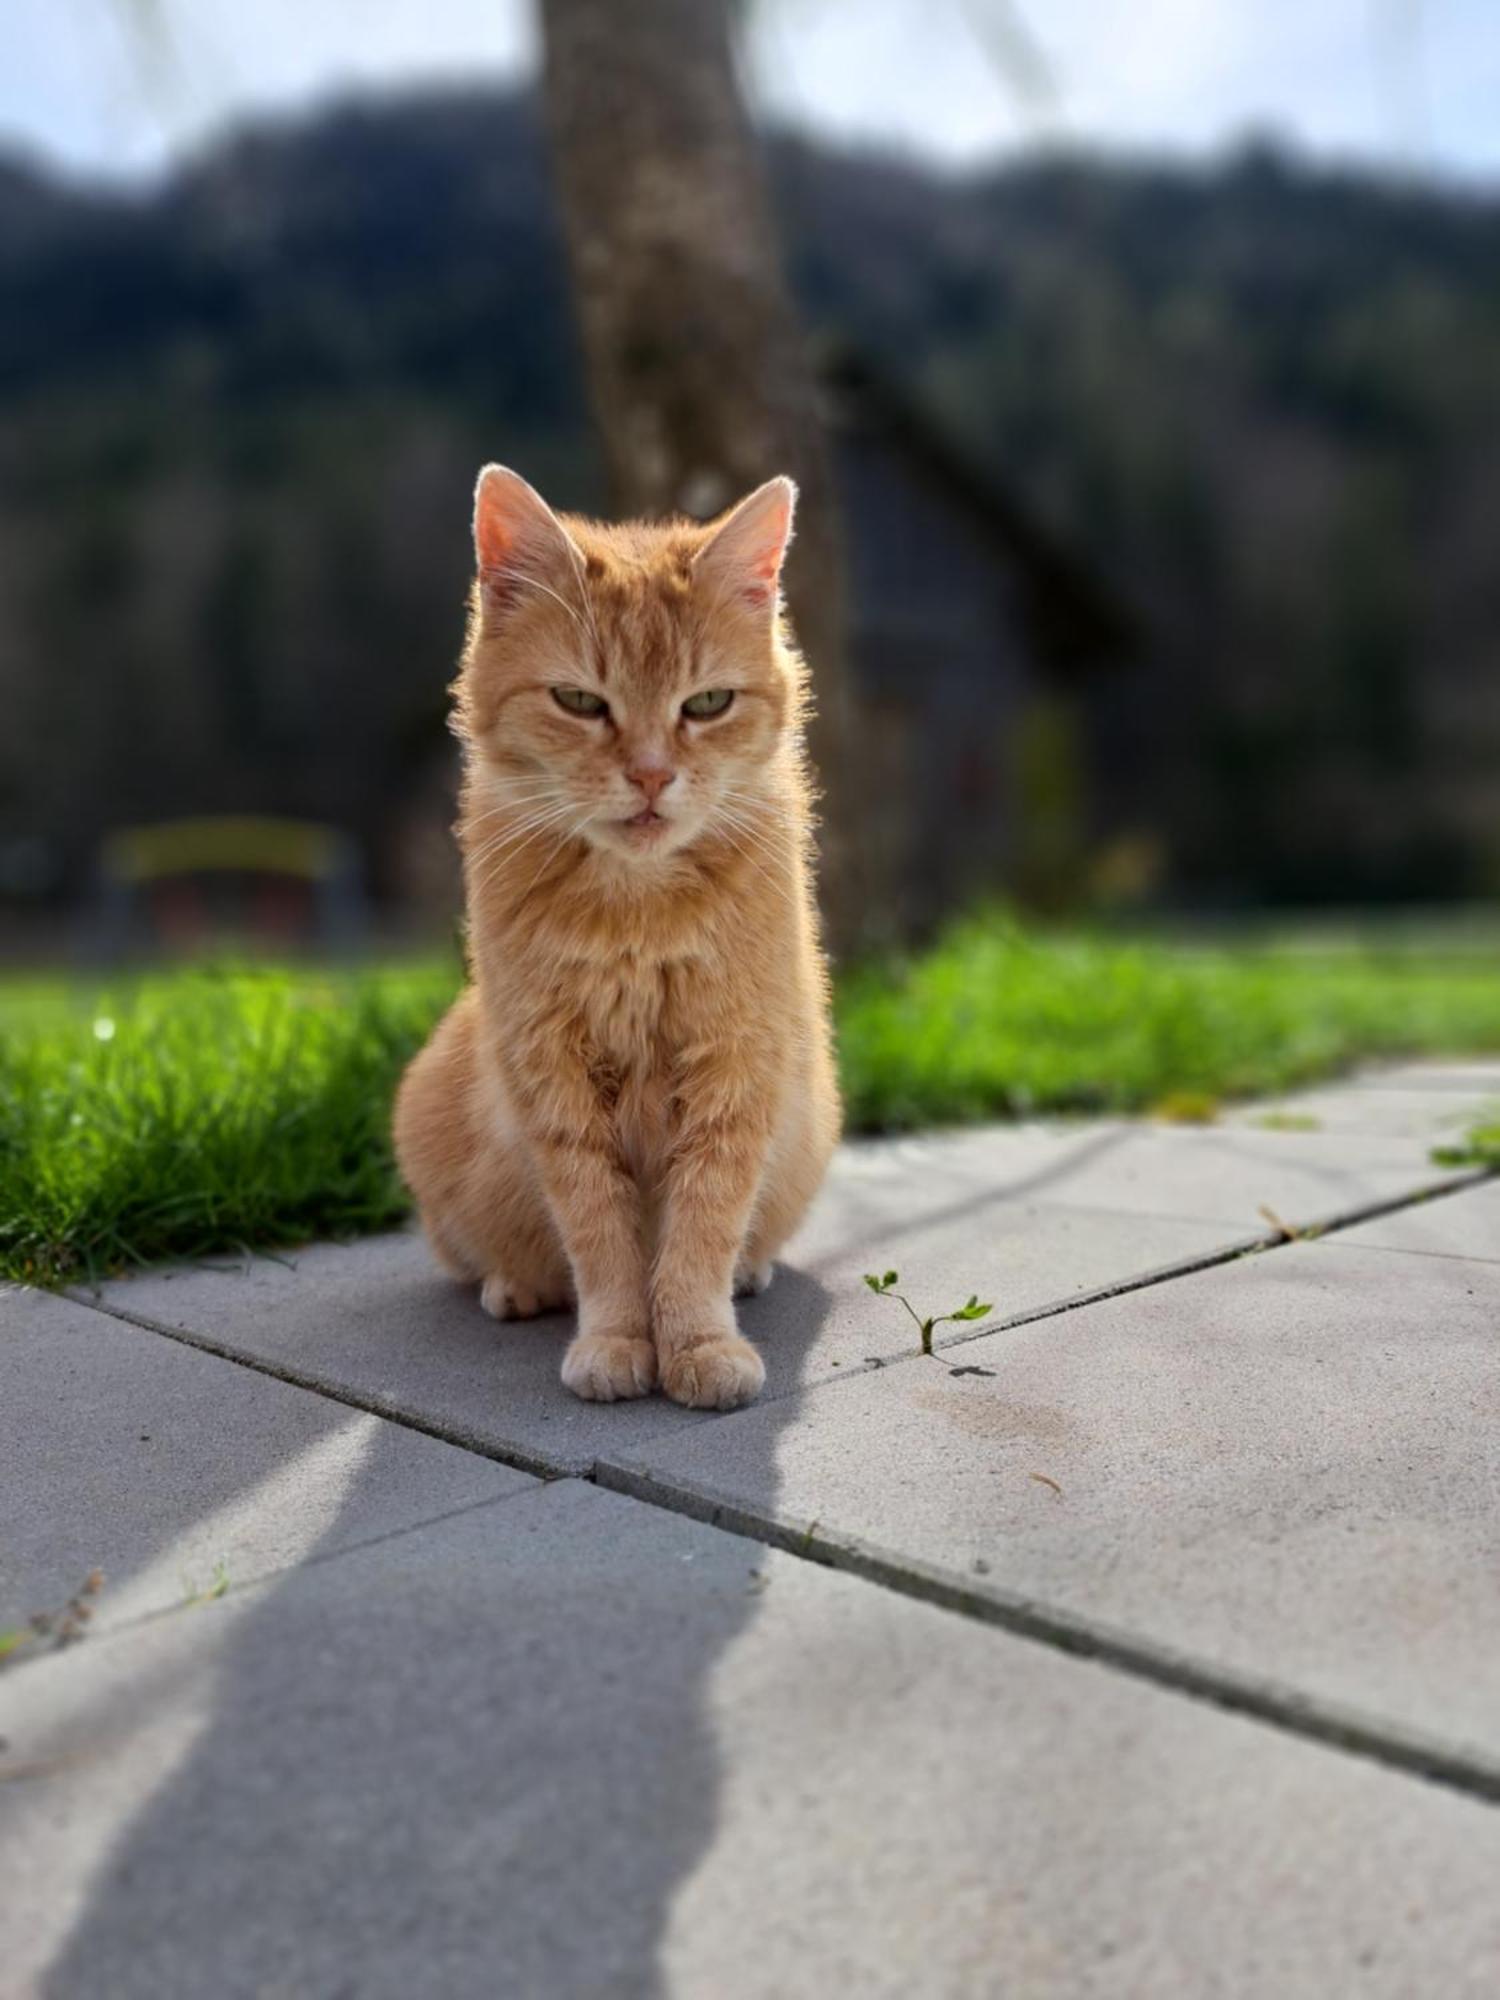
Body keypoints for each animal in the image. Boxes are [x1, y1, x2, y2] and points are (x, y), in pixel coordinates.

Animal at [396, 466, 848, 1408]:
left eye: (707, 704)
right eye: (579, 701)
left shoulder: (733, 1065)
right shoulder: (553, 1076)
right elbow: (598, 1228)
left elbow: (703, 1222)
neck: (637, 912)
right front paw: (616, 1339)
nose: (649, 775)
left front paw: (699, 1342)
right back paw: (516, 1285)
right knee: (476, 1256)